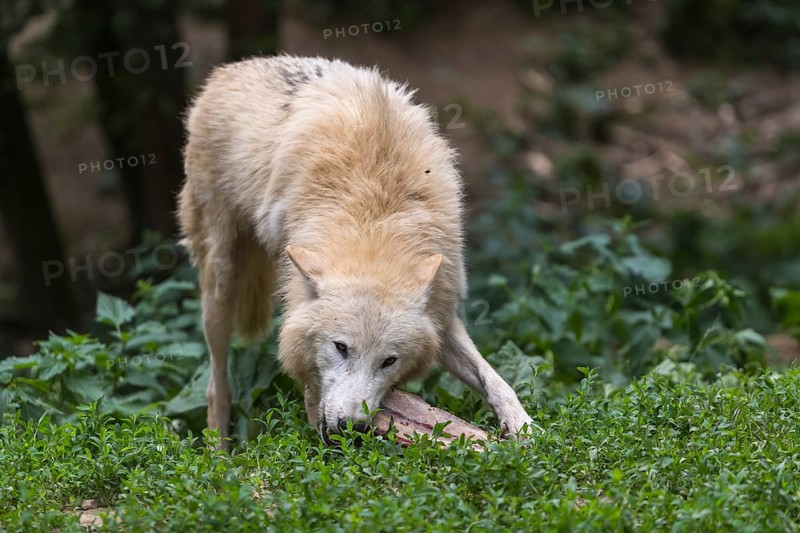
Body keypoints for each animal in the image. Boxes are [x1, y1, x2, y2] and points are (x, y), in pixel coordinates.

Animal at [178, 55, 533, 445]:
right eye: (341, 347)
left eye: (389, 361)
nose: (351, 428)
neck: (376, 220)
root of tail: (230, 69)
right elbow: (312, 393)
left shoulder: (441, 314)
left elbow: (495, 379)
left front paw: (525, 429)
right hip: (220, 284)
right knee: (217, 386)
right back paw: (219, 450)